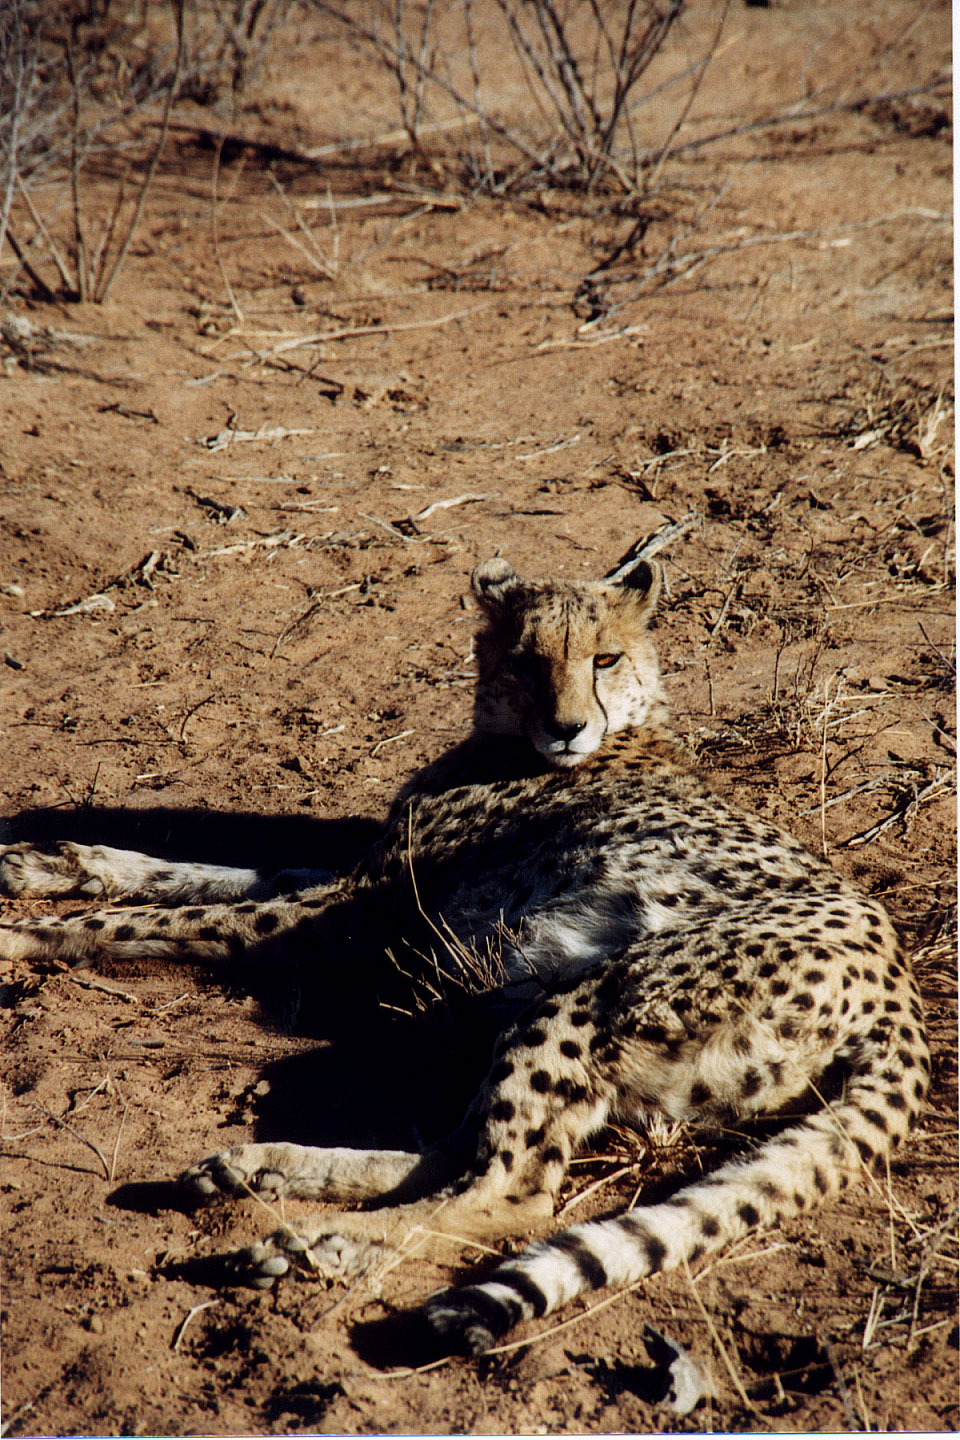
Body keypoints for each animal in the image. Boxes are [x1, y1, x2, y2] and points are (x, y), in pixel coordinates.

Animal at [0, 550, 932, 1347]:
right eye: (524, 659)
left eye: (603, 659)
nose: (565, 729)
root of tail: (900, 988)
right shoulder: (366, 888)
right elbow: (200, 873)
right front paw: (50, 862)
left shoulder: (354, 918)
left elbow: (166, 918)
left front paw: (23, 930)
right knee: (456, 1153)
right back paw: (260, 1172)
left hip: (589, 998)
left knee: (512, 1190)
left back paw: (314, 1244)